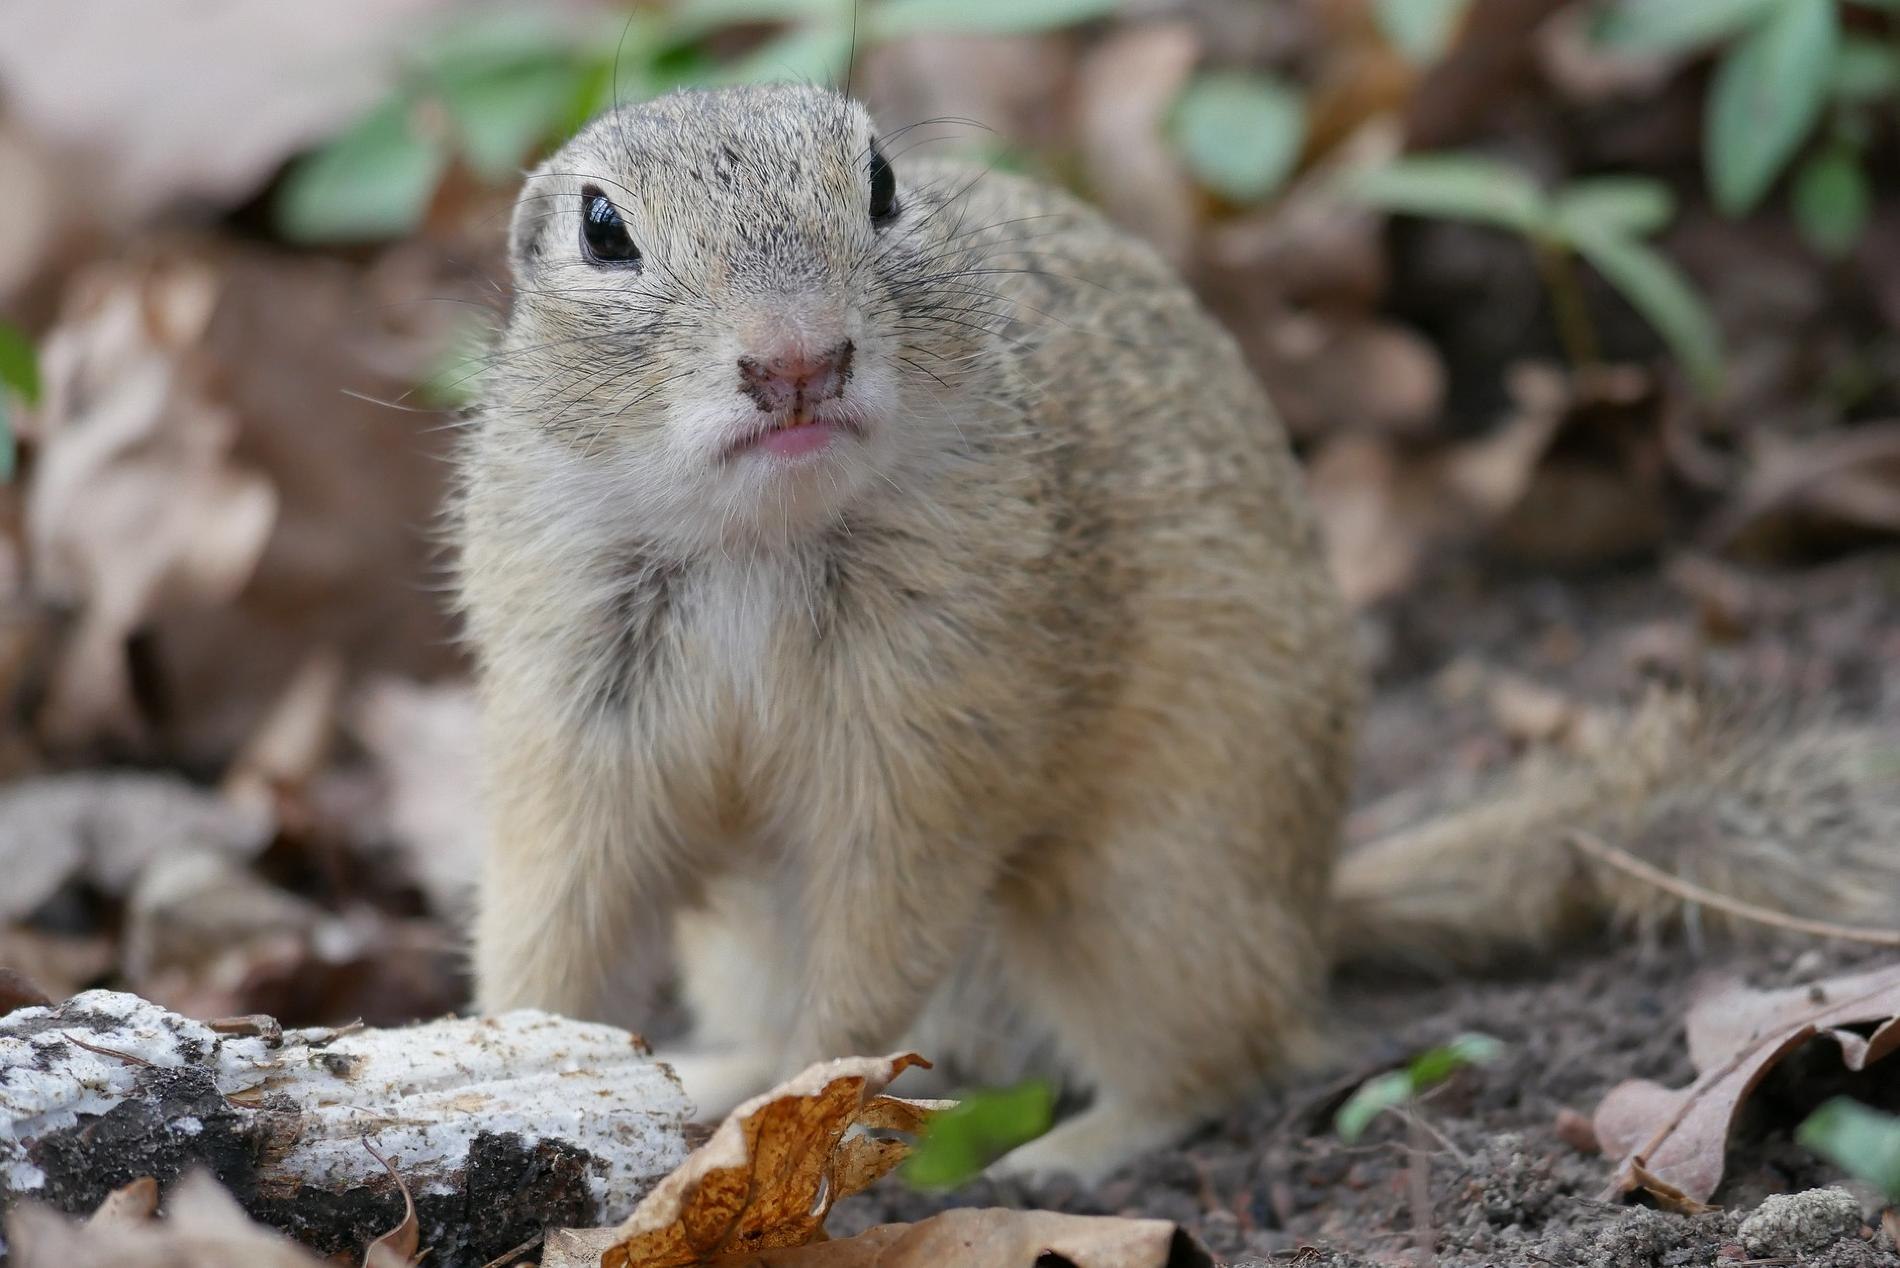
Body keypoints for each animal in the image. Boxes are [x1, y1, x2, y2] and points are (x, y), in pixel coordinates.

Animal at [459, 86, 1900, 1178]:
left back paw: (1064, 1152)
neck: (758, 542)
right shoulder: (573, 729)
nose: (798, 359)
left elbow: (879, 933)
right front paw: (515, 1058)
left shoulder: (927, 741)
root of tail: (1311, 911)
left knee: (1216, 1057)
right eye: (602, 229)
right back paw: (718, 1071)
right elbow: (554, 917)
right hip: (762, 940)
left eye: (879, 184)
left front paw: (812, 1104)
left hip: (1136, 898)